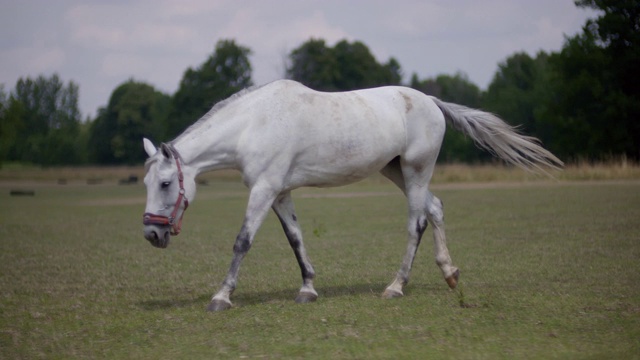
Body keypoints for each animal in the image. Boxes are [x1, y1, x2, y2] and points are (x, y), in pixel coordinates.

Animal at [142, 79, 564, 310]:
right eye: (145, 183)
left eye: (165, 183)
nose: (152, 234)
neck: (254, 123)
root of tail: (430, 102)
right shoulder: (280, 193)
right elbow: (295, 239)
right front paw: (308, 288)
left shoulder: (264, 190)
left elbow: (242, 241)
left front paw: (221, 297)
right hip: (399, 172)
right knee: (436, 208)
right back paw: (449, 273)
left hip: (415, 172)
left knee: (417, 222)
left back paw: (396, 286)